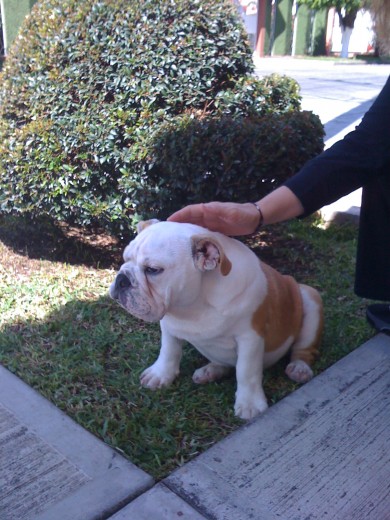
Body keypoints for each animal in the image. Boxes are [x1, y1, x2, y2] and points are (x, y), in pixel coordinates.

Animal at [109, 219, 322, 418]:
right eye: (125, 258)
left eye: (153, 270)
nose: (121, 279)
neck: (194, 305)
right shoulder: (169, 327)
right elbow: (169, 351)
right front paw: (160, 374)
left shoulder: (250, 338)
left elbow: (246, 371)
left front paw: (250, 403)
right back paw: (209, 371)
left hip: (309, 297)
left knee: (304, 349)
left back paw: (299, 368)